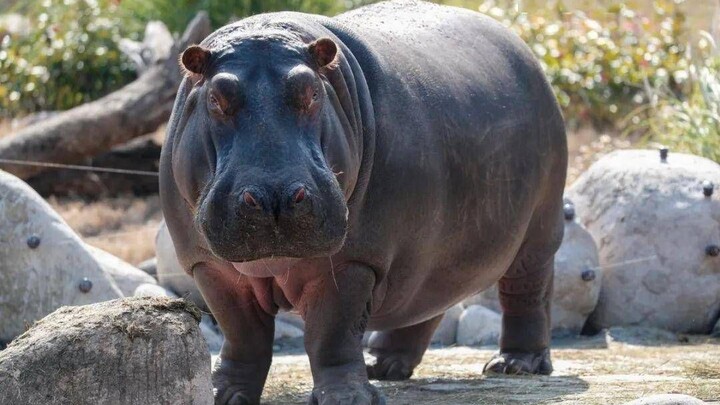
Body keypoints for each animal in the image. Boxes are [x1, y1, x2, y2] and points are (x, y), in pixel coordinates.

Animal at [159, 1, 568, 404]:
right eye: (216, 98)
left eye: (312, 93)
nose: (275, 195)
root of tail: (524, 50)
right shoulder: (210, 266)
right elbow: (242, 334)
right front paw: (222, 394)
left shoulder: (353, 260)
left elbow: (332, 333)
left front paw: (347, 398)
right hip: (434, 251)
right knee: (428, 302)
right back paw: (381, 366)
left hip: (539, 230)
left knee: (527, 291)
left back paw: (515, 364)